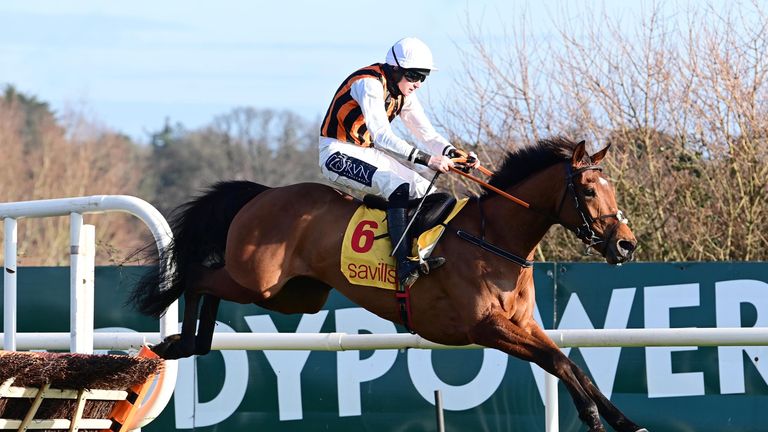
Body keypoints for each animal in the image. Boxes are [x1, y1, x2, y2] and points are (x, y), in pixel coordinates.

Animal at [134, 138, 648, 432]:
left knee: (213, 286)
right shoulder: (487, 329)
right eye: (588, 190)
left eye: (611, 189)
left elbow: (573, 363)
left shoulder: (522, 324)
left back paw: (190, 343)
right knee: (199, 278)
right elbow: (558, 362)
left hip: (294, 296)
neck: (494, 239)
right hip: (257, 280)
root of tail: (263, 193)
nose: (625, 244)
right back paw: (182, 342)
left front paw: (623, 421)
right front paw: (593, 416)